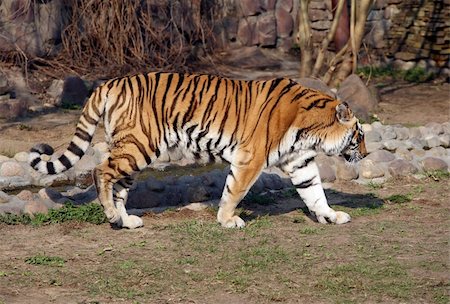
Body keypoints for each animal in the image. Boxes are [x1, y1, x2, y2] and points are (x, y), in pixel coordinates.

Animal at [28, 72, 366, 229]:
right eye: (360, 135)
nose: (365, 154)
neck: (312, 131)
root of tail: (110, 83)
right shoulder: (250, 159)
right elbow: (234, 191)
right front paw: (228, 220)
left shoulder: (301, 163)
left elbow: (315, 192)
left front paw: (331, 216)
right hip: (139, 146)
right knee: (101, 171)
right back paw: (112, 216)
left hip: (132, 150)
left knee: (119, 185)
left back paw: (126, 222)